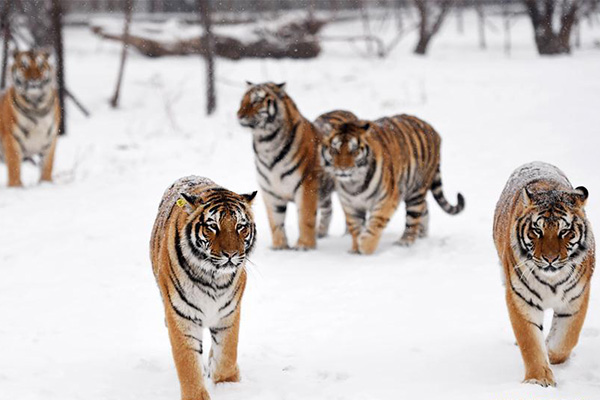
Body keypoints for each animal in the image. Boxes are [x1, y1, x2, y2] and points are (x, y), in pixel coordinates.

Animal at [0, 49, 60, 187]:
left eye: (40, 66)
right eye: (24, 66)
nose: (34, 79)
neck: (36, 105)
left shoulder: (50, 141)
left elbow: (47, 166)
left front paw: (46, 184)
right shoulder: (12, 139)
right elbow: (14, 168)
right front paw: (16, 187)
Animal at [151, 176, 256, 400]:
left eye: (240, 226)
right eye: (213, 226)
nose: (231, 255)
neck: (213, 277)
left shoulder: (229, 313)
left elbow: (227, 352)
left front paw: (227, 384)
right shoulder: (181, 316)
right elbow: (188, 364)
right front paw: (196, 396)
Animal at [238, 81, 332, 248]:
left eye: (256, 100)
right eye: (242, 101)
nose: (238, 115)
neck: (266, 142)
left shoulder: (307, 184)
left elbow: (306, 217)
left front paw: (304, 246)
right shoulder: (270, 190)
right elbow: (275, 221)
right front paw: (279, 246)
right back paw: (322, 233)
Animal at [322, 114, 466, 255]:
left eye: (354, 151)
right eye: (334, 150)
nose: (342, 168)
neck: (353, 183)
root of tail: (432, 129)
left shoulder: (387, 198)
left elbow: (376, 223)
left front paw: (366, 246)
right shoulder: (350, 204)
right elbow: (355, 227)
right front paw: (355, 248)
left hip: (416, 190)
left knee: (413, 218)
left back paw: (405, 242)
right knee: (424, 209)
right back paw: (422, 235)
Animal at [492, 162, 596, 388]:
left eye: (565, 231)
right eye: (537, 231)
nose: (550, 258)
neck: (552, 280)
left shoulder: (575, 300)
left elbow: (565, 340)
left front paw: (550, 352)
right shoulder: (521, 299)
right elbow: (530, 343)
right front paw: (538, 380)